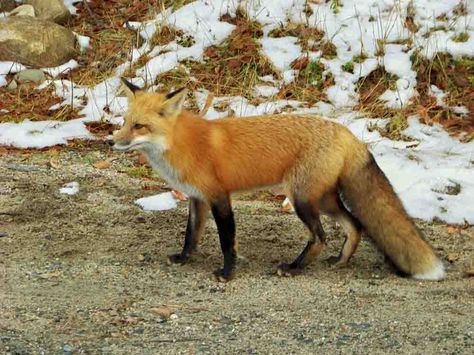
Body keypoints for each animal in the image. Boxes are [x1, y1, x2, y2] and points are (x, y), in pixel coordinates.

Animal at [110, 79, 444, 282]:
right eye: (124, 122)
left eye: (140, 127)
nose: (111, 141)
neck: (183, 144)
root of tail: (348, 134)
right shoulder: (197, 198)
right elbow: (191, 235)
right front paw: (182, 258)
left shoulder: (219, 197)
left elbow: (226, 241)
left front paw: (227, 273)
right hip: (323, 199)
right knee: (355, 226)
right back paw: (340, 261)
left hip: (301, 199)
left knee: (321, 236)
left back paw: (295, 268)